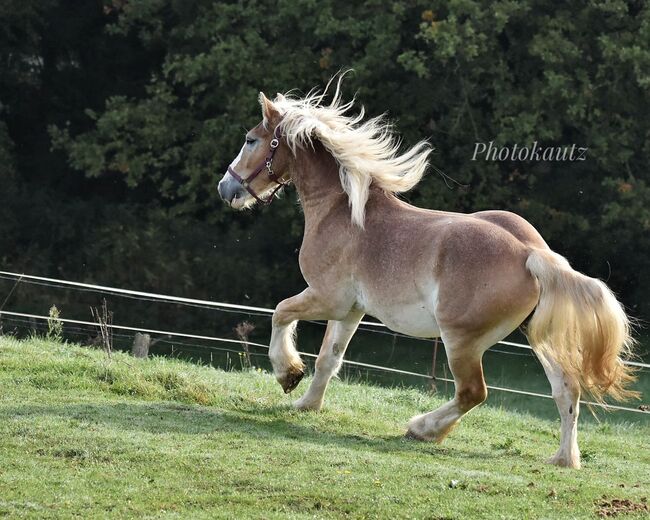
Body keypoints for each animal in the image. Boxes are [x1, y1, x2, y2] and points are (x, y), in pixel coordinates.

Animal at [216, 79, 632, 470]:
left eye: (251, 140)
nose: (226, 187)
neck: (341, 211)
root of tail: (530, 253)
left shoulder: (326, 298)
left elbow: (281, 312)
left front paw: (287, 374)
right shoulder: (351, 310)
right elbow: (328, 359)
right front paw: (307, 404)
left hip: (461, 340)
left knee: (473, 393)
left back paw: (422, 429)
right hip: (536, 337)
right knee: (566, 389)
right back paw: (565, 459)